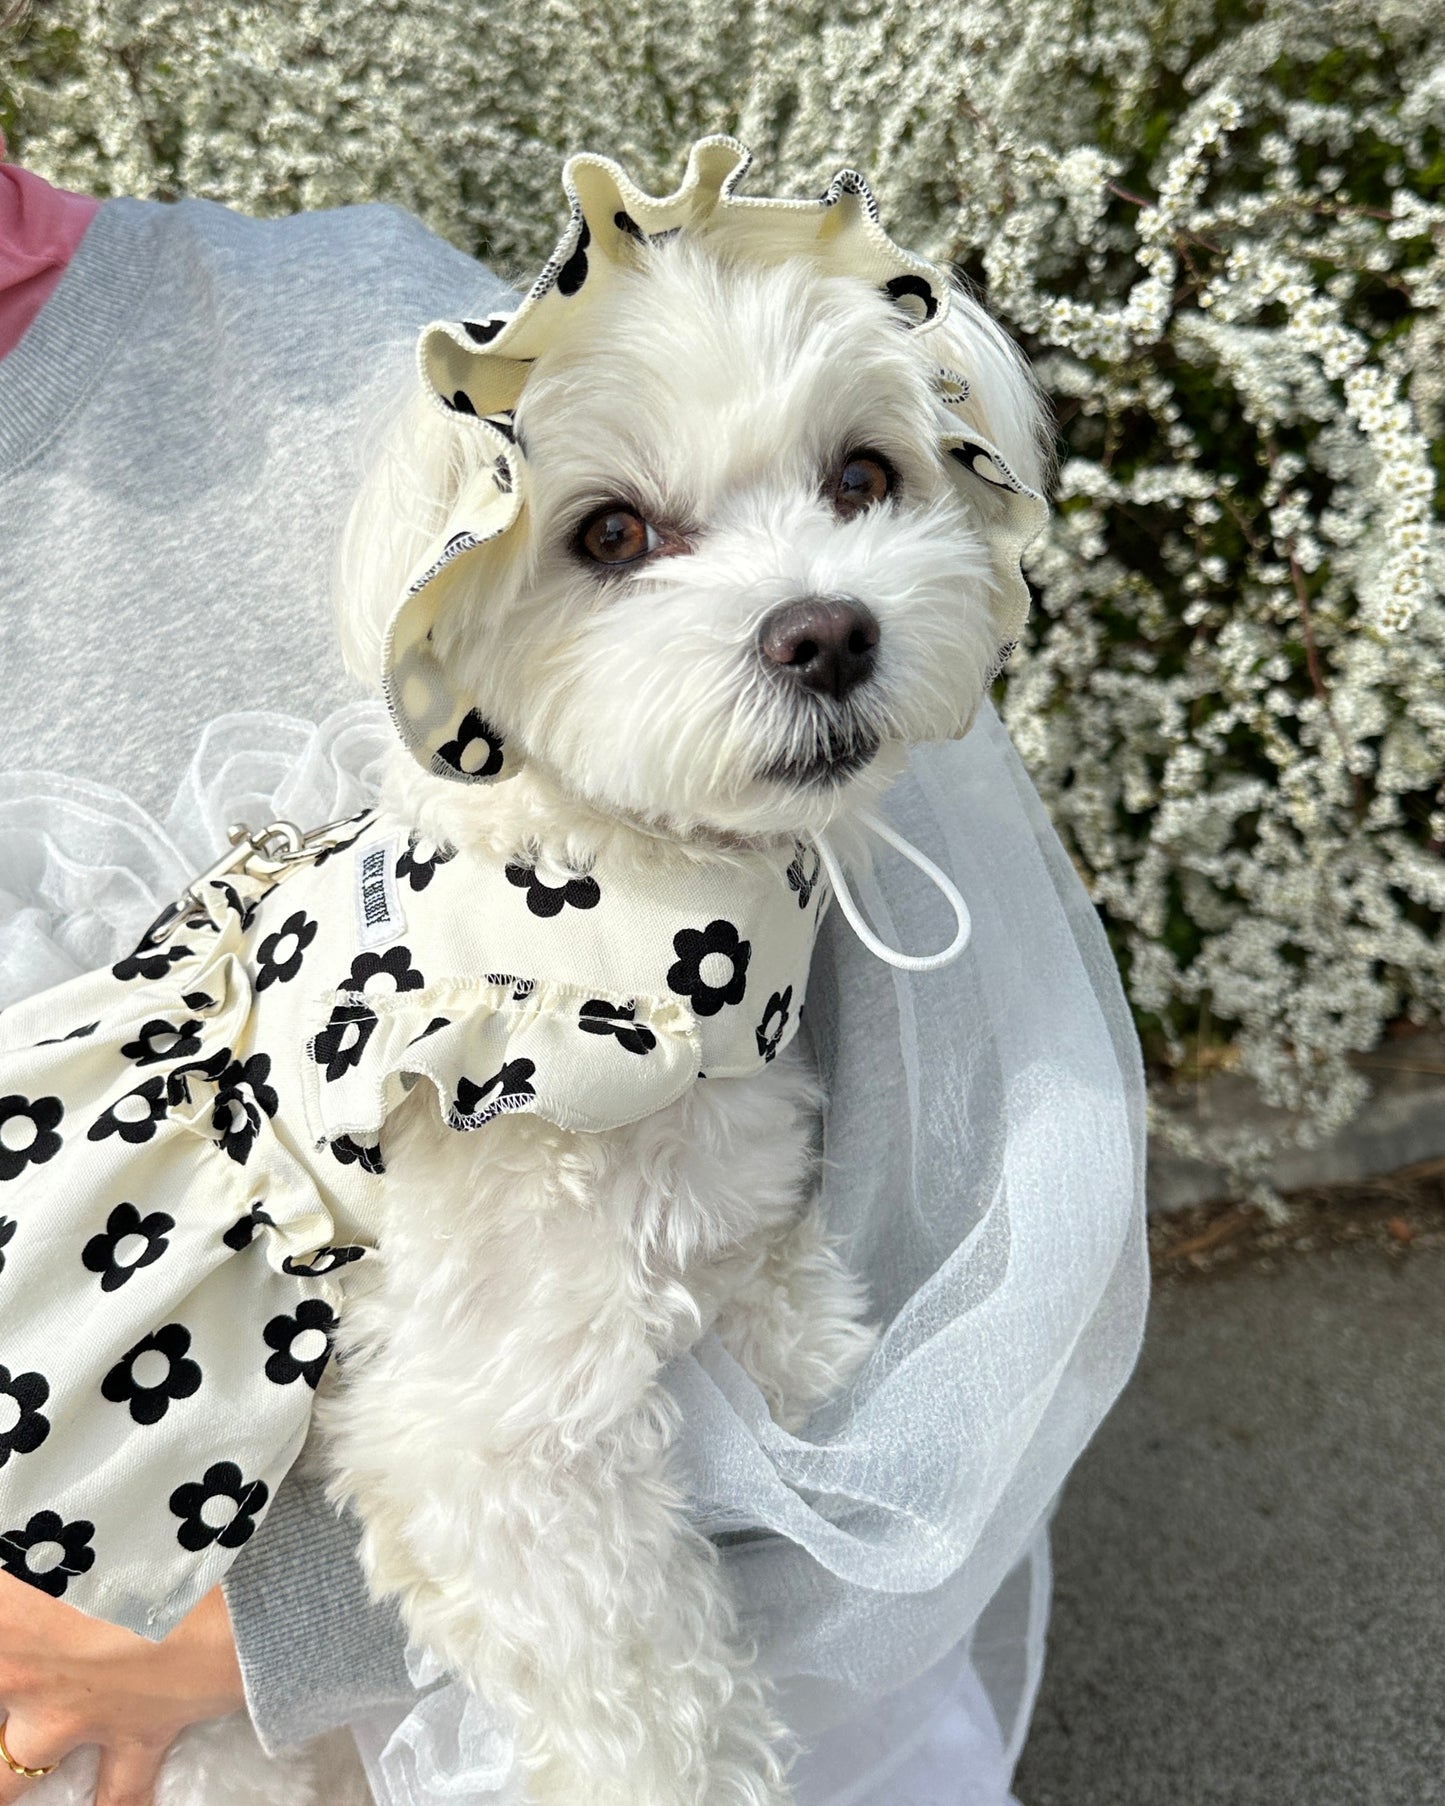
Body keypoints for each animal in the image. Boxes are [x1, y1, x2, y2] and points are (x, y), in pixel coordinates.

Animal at [33, 169, 1047, 1806]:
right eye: (611, 531)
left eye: (863, 474)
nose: (826, 630)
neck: (598, 940)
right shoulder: (490, 1441)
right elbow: (645, 1698)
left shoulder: (734, 1224)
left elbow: (805, 1347)